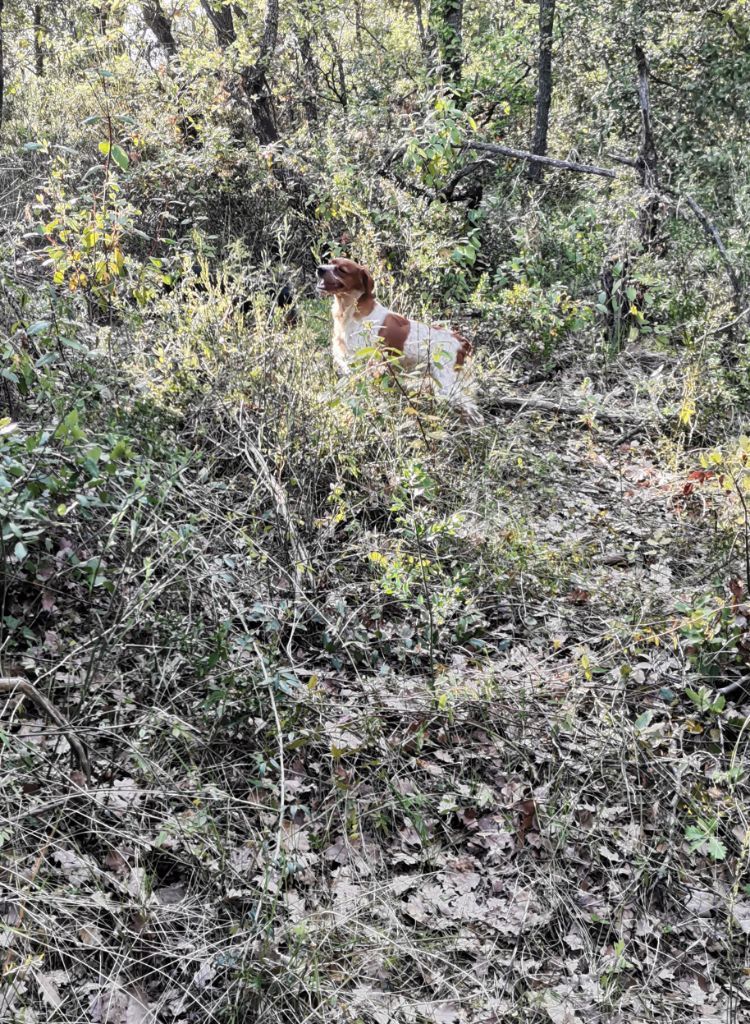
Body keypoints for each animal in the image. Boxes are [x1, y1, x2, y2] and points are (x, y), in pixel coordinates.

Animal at [316, 257, 482, 425]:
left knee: (474, 411)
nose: (319, 269)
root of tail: (460, 340)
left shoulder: (365, 365)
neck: (350, 311)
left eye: (341, 270)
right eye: (330, 261)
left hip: (448, 386)